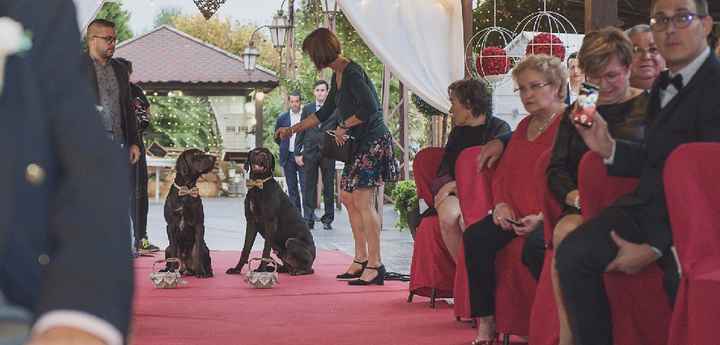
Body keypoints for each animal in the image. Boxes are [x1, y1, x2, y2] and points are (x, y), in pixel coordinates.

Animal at [164, 148, 217, 276]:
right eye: (196, 155)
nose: (214, 157)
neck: (187, 190)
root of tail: (185, 268)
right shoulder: (170, 225)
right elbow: (174, 251)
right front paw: (171, 271)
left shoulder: (199, 224)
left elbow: (197, 251)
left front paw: (201, 272)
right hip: (166, 249)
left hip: (206, 249)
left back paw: (206, 272)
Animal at [225, 146, 316, 276]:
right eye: (256, 152)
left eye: (267, 154)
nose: (263, 156)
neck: (258, 185)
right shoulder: (251, 222)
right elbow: (246, 249)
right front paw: (237, 269)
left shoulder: (270, 222)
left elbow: (265, 249)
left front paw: (261, 270)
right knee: (286, 265)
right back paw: (277, 268)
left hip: (291, 242)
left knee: (308, 268)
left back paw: (297, 271)